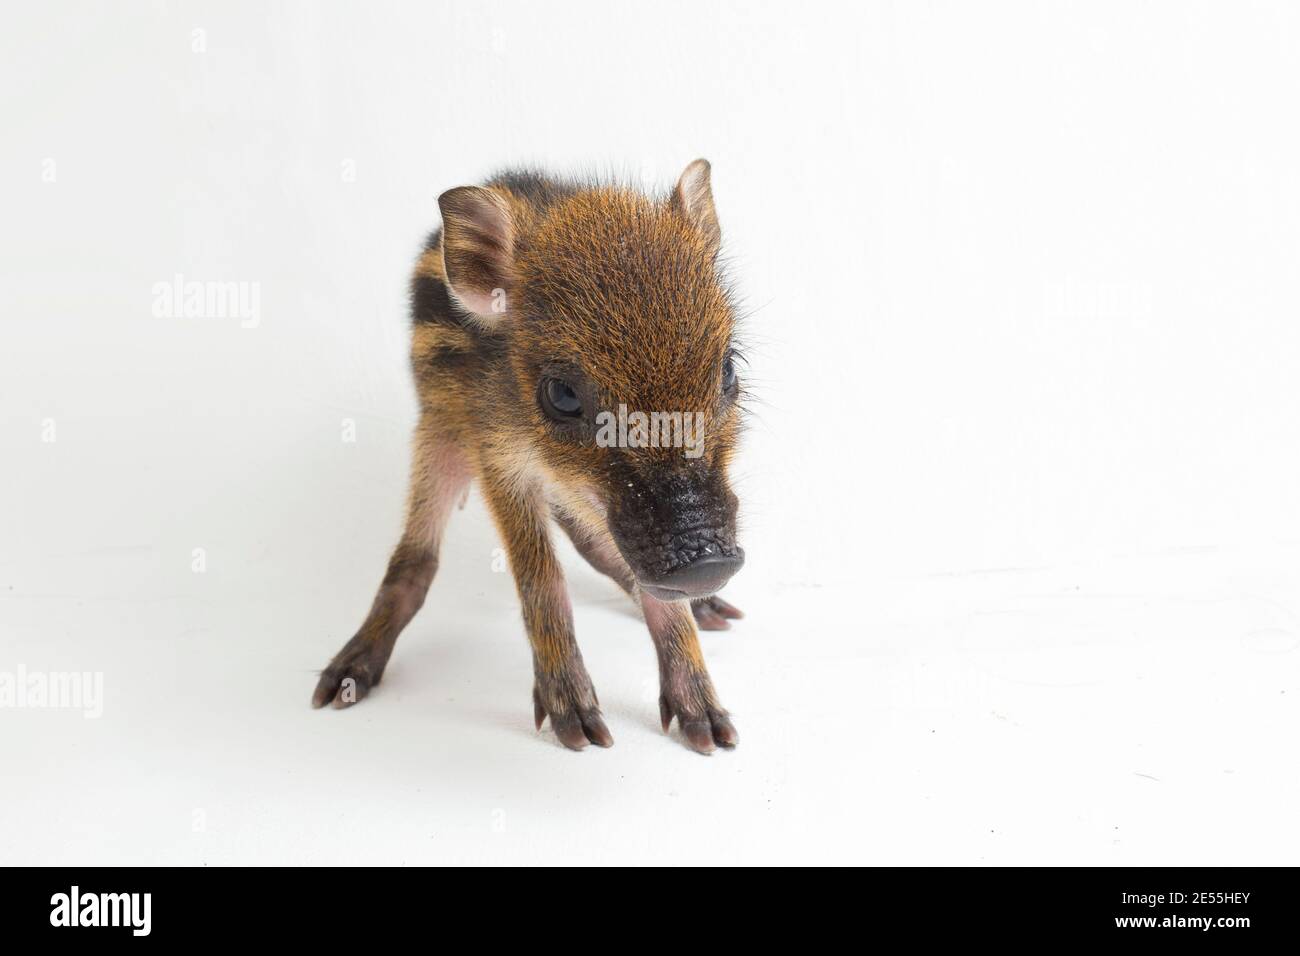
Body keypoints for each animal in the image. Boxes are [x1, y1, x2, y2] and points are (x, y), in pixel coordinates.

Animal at [312, 160, 746, 753]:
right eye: (562, 394)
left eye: (728, 370)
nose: (707, 563)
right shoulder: (496, 460)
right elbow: (541, 578)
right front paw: (577, 723)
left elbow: (650, 589)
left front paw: (707, 721)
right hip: (438, 439)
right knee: (415, 561)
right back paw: (345, 679)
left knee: (595, 546)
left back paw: (712, 613)